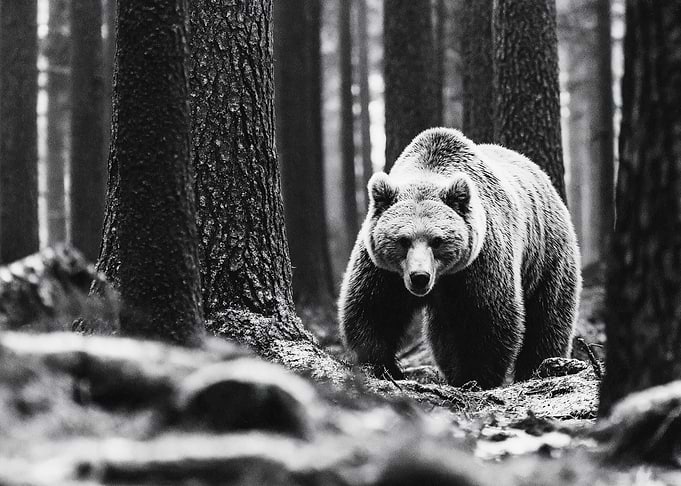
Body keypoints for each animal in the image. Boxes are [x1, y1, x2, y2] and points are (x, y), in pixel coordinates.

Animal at [338, 127, 581, 389]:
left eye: (437, 240)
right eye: (403, 240)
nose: (419, 277)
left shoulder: (480, 262)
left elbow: (489, 317)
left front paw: (476, 376)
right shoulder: (383, 270)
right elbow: (373, 308)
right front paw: (382, 366)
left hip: (546, 254)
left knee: (547, 316)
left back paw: (539, 367)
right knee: (442, 332)